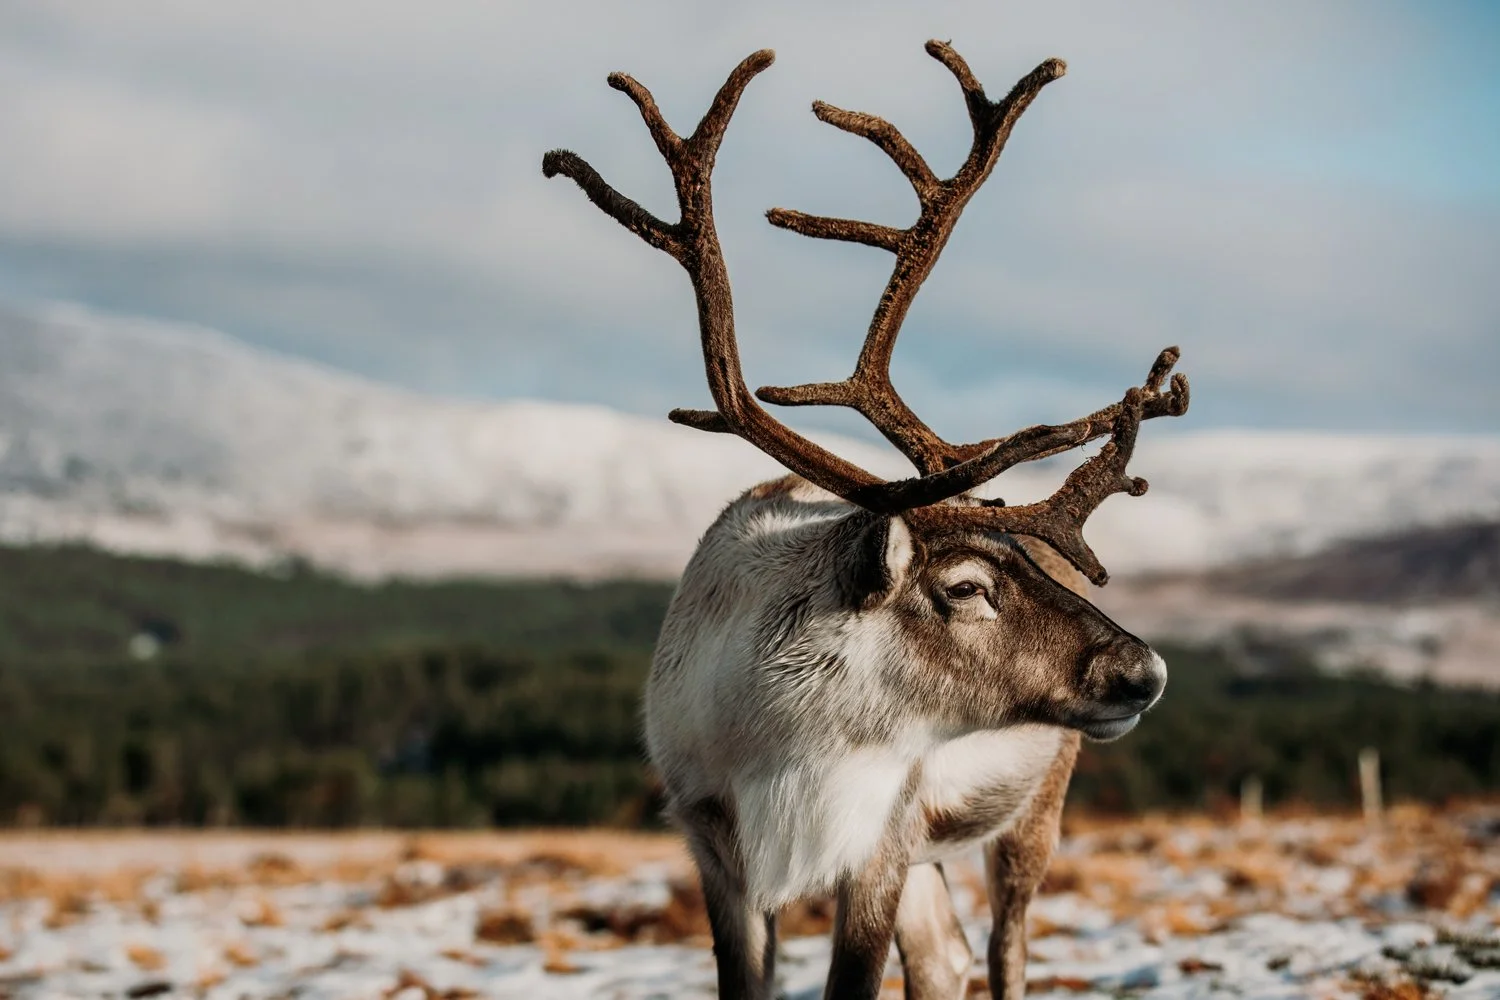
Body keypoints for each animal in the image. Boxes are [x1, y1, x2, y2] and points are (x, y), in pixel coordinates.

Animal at [543, 39, 1189, 1000]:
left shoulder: (881, 843)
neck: (783, 749)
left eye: (1025, 561)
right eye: (966, 586)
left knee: (1002, 951)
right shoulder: (711, 844)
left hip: (1034, 808)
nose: (1144, 670)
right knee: (945, 956)